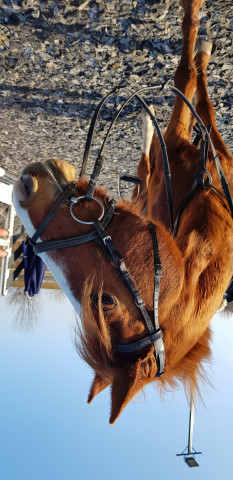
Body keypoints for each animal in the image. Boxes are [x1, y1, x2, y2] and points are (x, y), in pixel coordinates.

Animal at [12, 0, 233, 424]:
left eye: (106, 303)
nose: (22, 189)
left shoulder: (180, 149)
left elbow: (188, 82)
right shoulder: (175, 153)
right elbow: (190, 85)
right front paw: (198, 37)